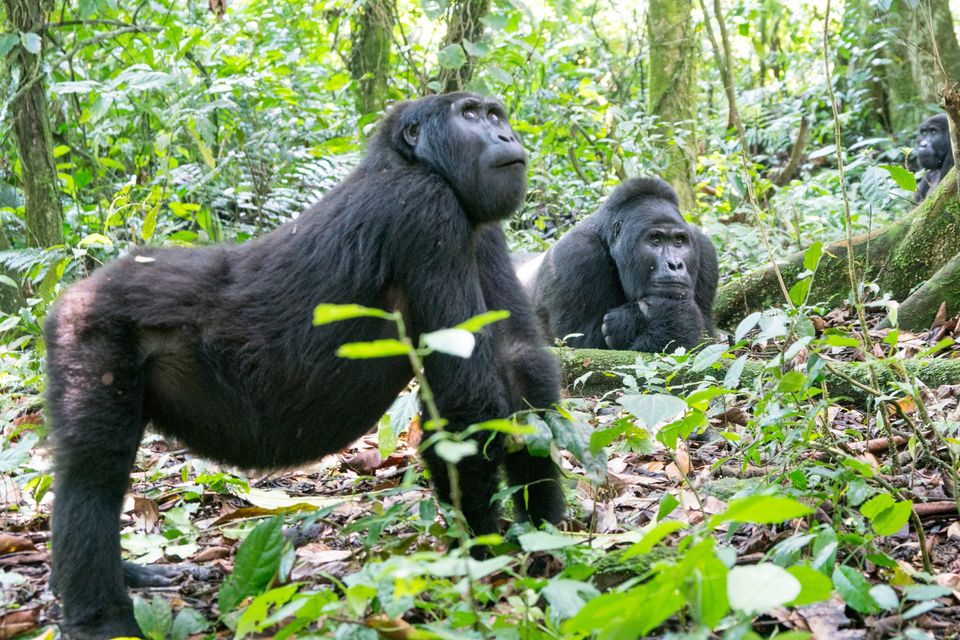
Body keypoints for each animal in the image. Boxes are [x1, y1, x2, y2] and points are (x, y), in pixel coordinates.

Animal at [48, 91, 568, 640]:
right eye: (470, 116)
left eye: (495, 115)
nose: (506, 135)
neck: (408, 161)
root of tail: (72, 294)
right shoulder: (425, 212)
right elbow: (467, 402)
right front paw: (482, 563)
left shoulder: (478, 227)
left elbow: (520, 364)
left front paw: (545, 535)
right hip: (88, 331)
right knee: (95, 472)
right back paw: (99, 616)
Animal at [528, 178, 716, 352]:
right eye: (655, 240)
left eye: (679, 241)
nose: (675, 264)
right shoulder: (575, 254)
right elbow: (581, 347)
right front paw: (672, 319)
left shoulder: (704, 247)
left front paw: (630, 321)